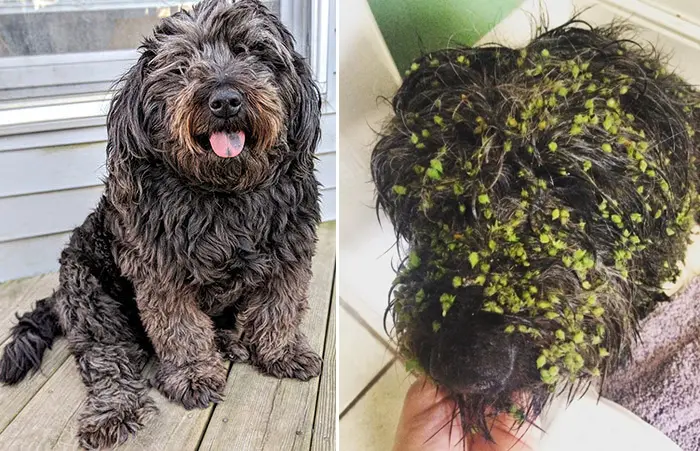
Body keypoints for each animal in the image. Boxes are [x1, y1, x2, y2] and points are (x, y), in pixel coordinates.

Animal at [0, 0, 322, 448]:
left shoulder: (289, 252)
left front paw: (281, 352)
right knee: (107, 357)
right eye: (181, 66)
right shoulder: (160, 273)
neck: (224, 192)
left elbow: (279, 307)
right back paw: (114, 411)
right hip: (91, 293)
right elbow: (179, 330)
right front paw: (192, 376)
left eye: (252, 53)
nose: (225, 100)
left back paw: (229, 341)